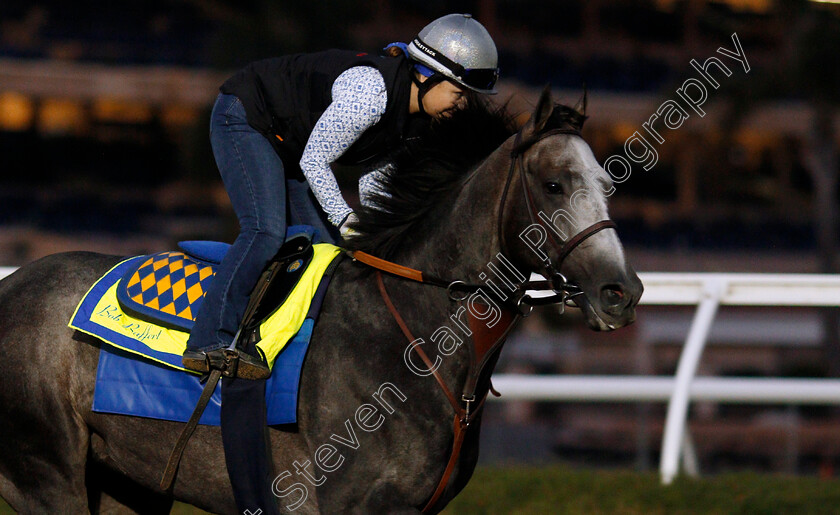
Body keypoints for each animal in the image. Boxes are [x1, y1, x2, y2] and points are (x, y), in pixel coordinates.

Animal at [0, 87, 636, 512]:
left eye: (608, 183)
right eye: (554, 184)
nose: (622, 292)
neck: (411, 341)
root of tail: (11, 284)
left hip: (124, 484)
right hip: (48, 474)